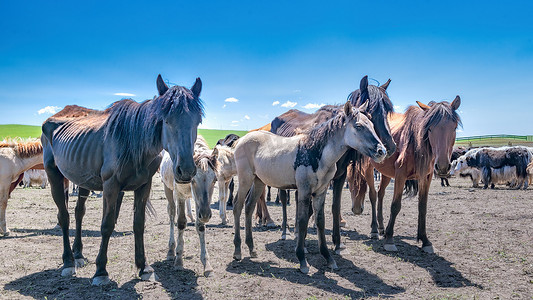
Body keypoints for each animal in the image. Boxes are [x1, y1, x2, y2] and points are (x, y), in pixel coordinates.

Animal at [41, 75, 204, 286]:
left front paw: (143, 267)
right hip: (54, 174)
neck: (133, 140)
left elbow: (139, 224)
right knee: (64, 216)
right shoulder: (111, 186)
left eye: (197, 121)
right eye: (165, 120)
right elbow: (107, 225)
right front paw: (101, 271)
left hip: (83, 179)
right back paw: (68, 261)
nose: (186, 170)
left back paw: (78, 255)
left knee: (78, 213)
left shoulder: (144, 185)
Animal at [159, 136, 217, 276]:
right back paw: (171, 250)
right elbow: (180, 222)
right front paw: (179, 261)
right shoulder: (179, 194)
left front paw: (207, 265)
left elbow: (200, 226)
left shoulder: (200, 203)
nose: (206, 215)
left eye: (215, 180)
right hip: (168, 189)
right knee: (172, 212)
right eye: (193, 180)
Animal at [231, 101, 384, 274]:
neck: (315, 151)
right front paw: (302, 260)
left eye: (372, 124)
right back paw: (237, 251)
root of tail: (241, 140)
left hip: (258, 181)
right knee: (237, 206)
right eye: (358, 126)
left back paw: (251, 249)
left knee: (249, 207)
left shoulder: (320, 192)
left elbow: (320, 221)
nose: (381, 151)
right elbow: (303, 220)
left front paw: (328, 258)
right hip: (245, 179)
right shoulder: (304, 190)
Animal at [270, 75, 394, 253]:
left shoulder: (340, 177)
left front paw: (337, 242)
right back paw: (285, 231)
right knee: (283, 198)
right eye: (371, 113)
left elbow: (335, 207)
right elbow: (309, 209)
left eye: (388, 111)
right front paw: (302, 240)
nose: (388, 148)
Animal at [348, 97, 460, 252]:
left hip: (386, 173)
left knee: (380, 193)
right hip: (369, 170)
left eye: (454, 127)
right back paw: (375, 230)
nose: (443, 166)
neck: (416, 144)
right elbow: (395, 206)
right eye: (430, 128)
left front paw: (425, 240)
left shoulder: (426, 177)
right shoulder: (401, 176)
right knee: (373, 195)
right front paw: (389, 239)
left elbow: (422, 207)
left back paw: (381, 227)